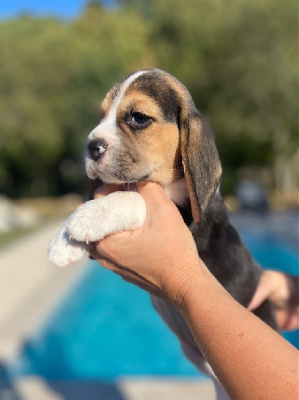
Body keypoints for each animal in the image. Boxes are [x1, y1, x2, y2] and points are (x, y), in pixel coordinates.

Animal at [48, 69, 276, 400]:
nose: (91, 147)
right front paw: (63, 241)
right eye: (102, 115)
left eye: (138, 118)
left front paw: (87, 217)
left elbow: (133, 197)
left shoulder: (185, 218)